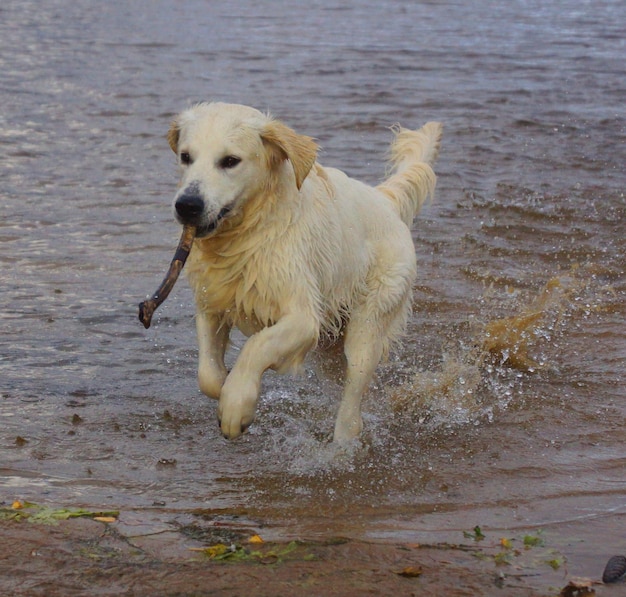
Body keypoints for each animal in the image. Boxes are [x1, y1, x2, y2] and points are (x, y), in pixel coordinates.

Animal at [166, 101, 438, 438]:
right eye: (185, 157)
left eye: (230, 161)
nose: (187, 205)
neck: (250, 231)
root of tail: (385, 200)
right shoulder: (212, 300)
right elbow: (207, 374)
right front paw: (226, 389)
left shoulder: (304, 316)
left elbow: (257, 345)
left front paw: (236, 407)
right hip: (331, 341)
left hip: (370, 319)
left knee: (354, 393)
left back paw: (342, 441)